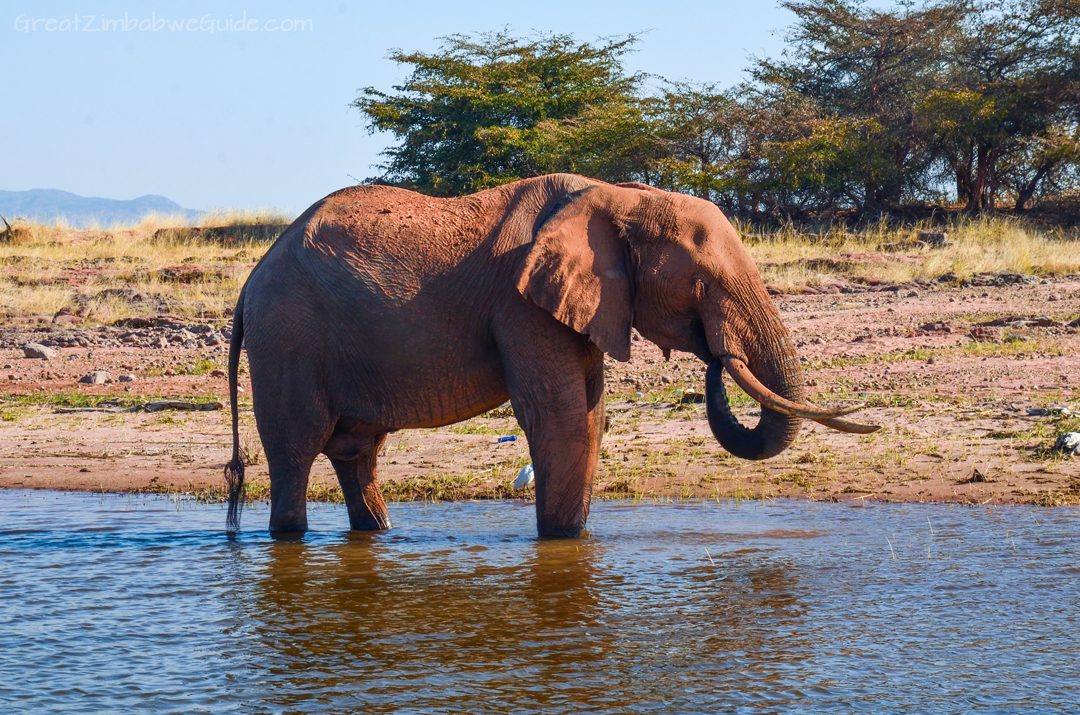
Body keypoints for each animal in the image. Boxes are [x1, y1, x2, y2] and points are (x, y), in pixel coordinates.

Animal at [221, 174, 876, 537]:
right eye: (702, 283)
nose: (717, 353)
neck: (616, 197)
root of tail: (250, 282)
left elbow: (589, 413)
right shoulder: (523, 306)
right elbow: (561, 417)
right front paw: (562, 544)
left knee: (357, 452)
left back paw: (378, 534)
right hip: (289, 337)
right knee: (297, 449)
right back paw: (290, 537)